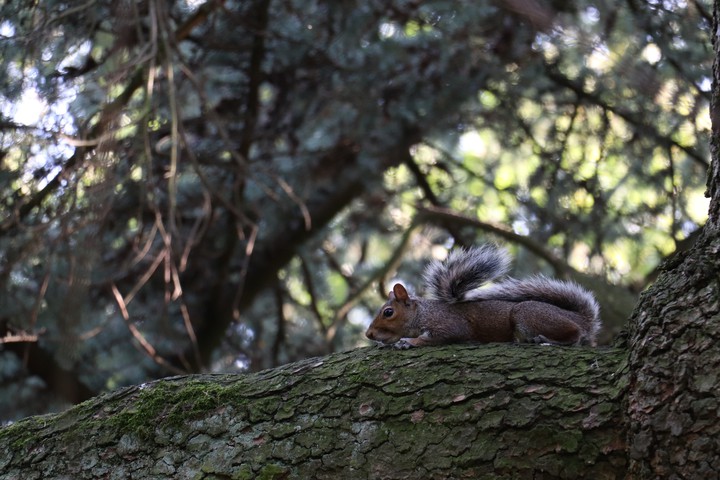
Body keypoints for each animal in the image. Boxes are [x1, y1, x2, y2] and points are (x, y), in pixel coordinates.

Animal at [365, 244, 601, 348]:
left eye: (388, 312)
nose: (368, 334)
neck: (423, 313)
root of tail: (582, 318)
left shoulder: (450, 325)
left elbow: (436, 338)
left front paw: (409, 341)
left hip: (526, 312)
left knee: (575, 334)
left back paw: (547, 339)